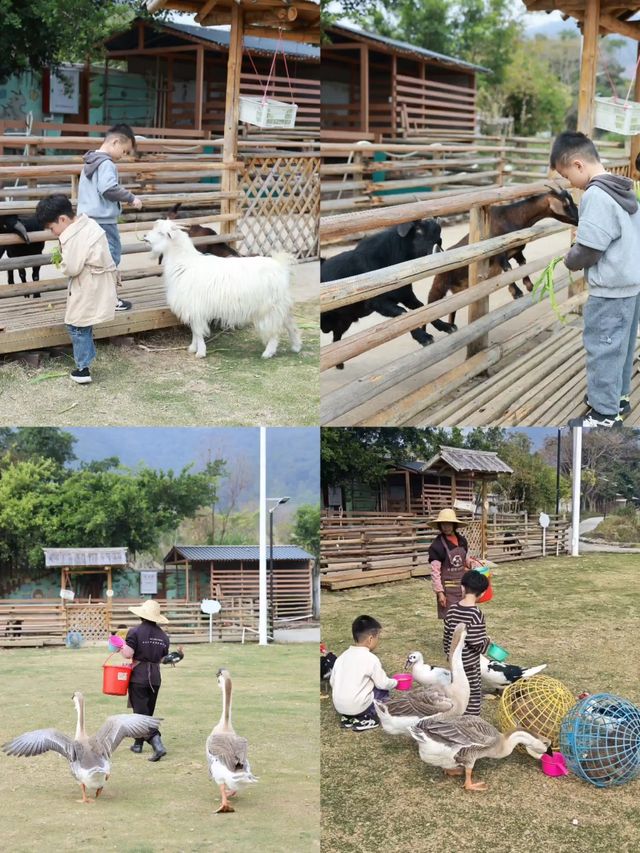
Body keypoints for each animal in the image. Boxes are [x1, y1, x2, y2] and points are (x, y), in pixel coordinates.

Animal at [144, 220, 302, 360]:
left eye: (161, 232)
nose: (145, 236)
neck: (185, 263)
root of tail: (280, 265)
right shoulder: (193, 308)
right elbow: (194, 330)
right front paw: (193, 348)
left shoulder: (196, 306)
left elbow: (198, 331)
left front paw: (200, 352)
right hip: (280, 305)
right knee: (290, 324)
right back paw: (296, 346)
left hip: (270, 308)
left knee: (275, 331)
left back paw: (268, 352)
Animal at [322, 218, 442, 368]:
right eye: (419, 232)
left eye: (440, 238)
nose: (438, 251)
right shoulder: (376, 302)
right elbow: (403, 313)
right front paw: (424, 338)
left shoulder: (406, 295)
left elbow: (424, 309)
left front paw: (448, 327)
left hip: (344, 320)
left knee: (336, 338)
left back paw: (339, 364)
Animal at [424, 187, 580, 332]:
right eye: (566, 204)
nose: (578, 219)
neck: (512, 217)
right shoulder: (499, 254)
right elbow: (508, 269)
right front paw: (516, 292)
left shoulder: (516, 251)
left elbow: (522, 264)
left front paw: (529, 285)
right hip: (440, 282)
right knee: (430, 306)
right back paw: (435, 332)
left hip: (458, 290)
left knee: (451, 309)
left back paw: (451, 327)